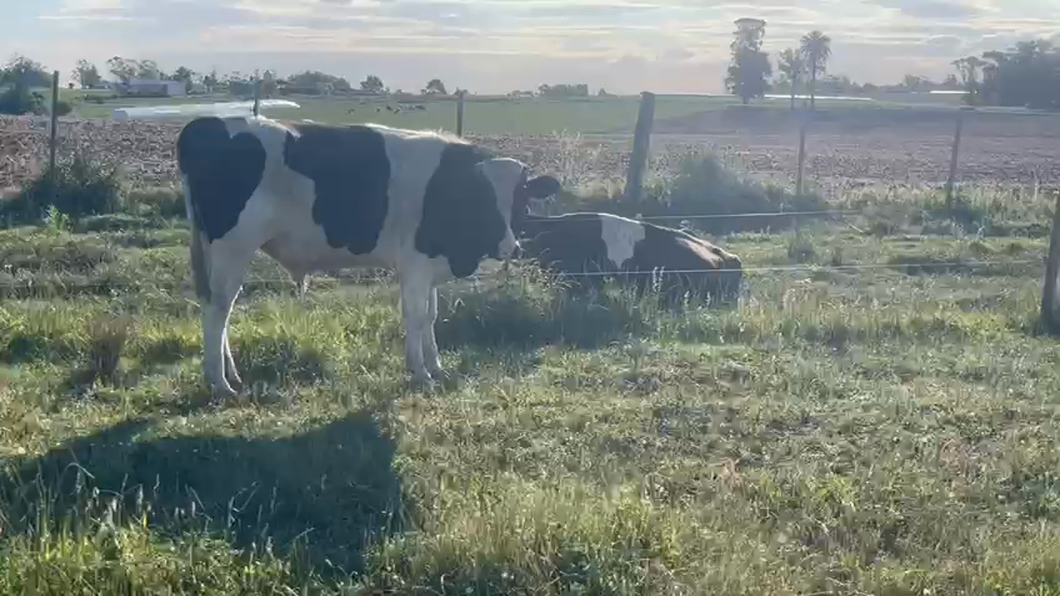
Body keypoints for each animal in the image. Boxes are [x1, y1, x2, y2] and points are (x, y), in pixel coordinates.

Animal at [180, 114, 563, 396]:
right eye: (482, 198)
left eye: (520, 199)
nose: (511, 247)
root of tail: (209, 124)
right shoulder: (414, 264)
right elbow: (415, 315)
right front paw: (420, 372)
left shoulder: (431, 267)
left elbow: (431, 315)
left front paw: (436, 366)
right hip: (232, 246)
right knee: (219, 308)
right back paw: (220, 382)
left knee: (216, 305)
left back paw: (229, 374)